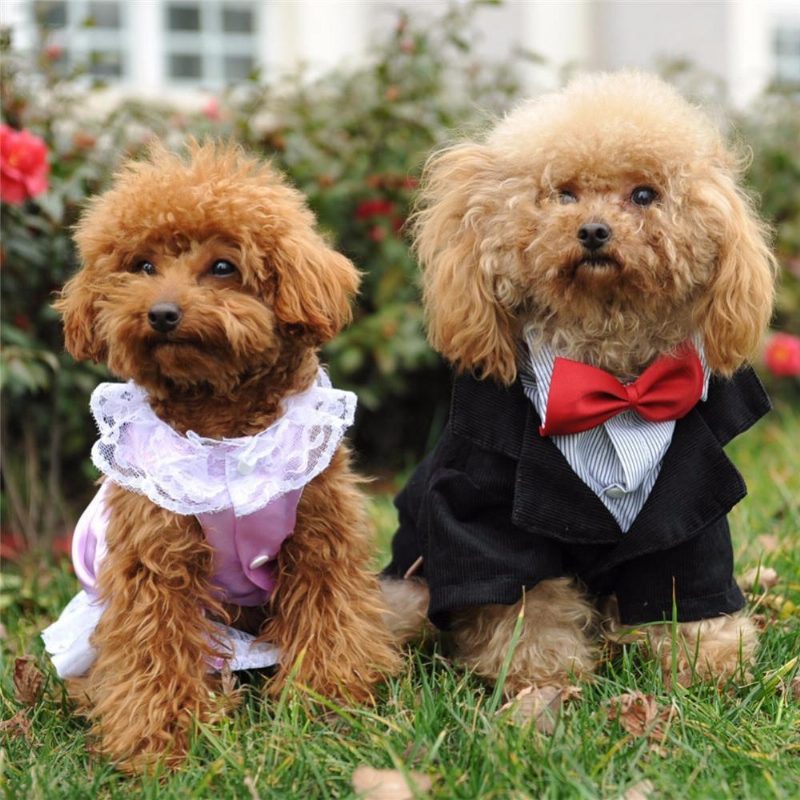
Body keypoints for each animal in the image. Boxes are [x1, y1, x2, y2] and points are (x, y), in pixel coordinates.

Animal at [45, 142, 400, 768]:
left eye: (222, 268)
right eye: (142, 267)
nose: (162, 313)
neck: (224, 432)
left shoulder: (318, 542)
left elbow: (329, 620)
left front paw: (327, 706)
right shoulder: (155, 562)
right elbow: (154, 647)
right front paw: (160, 744)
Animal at [382, 73, 776, 692]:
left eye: (644, 195)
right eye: (563, 194)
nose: (593, 231)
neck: (608, 375)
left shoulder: (689, 512)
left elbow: (682, 582)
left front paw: (707, 657)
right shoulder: (484, 514)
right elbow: (528, 600)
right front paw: (540, 669)